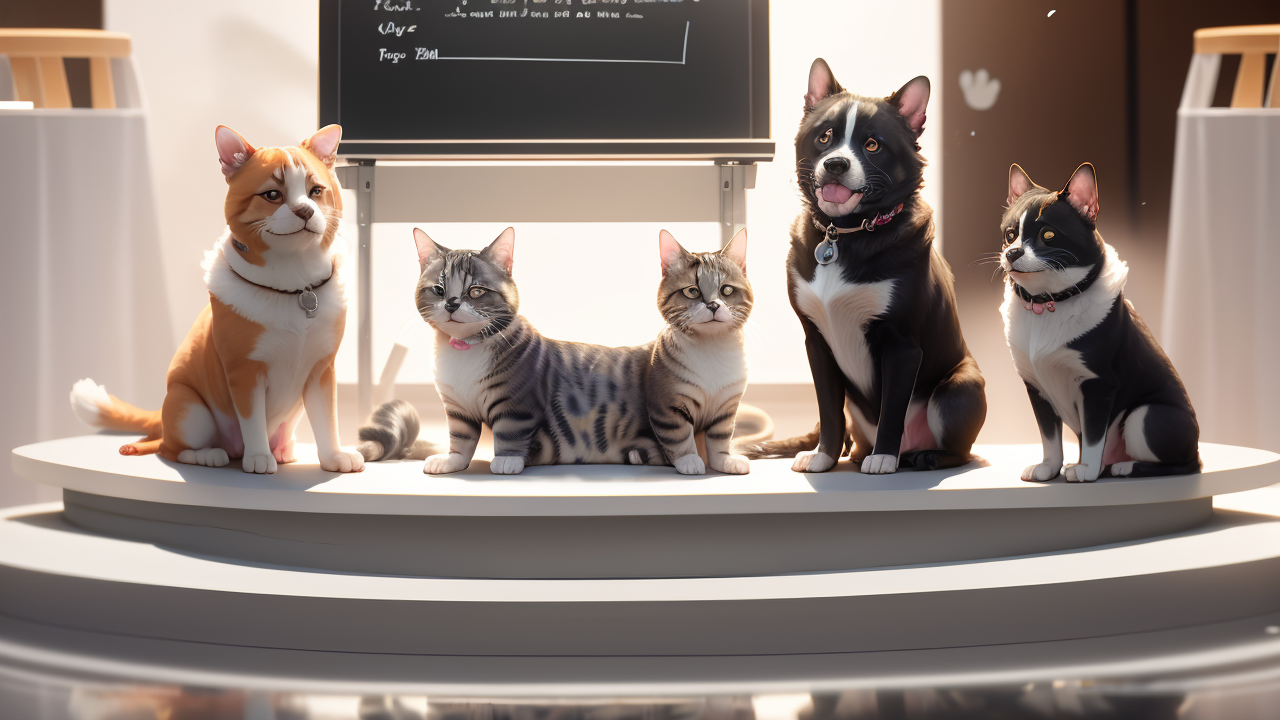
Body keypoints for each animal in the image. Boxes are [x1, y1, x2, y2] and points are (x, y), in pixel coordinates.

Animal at [69, 124, 363, 471]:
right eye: (272, 195)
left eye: (316, 191)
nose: (305, 210)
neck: (295, 287)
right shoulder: (244, 372)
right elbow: (252, 420)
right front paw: (259, 457)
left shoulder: (321, 370)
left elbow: (327, 420)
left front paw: (333, 457)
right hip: (188, 407)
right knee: (169, 447)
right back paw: (209, 455)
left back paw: (283, 450)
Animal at [355, 222, 752, 471]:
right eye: (438, 289)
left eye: (476, 291)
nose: (452, 304)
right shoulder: (458, 408)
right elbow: (461, 439)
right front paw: (453, 461)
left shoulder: (516, 401)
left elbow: (717, 437)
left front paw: (506, 460)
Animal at [737, 58, 983, 474]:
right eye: (825, 137)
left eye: (872, 145)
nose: (836, 164)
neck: (845, 234)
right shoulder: (817, 342)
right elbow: (829, 409)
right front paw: (824, 456)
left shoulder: (902, 344)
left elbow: (892, 408)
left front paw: (883, 457)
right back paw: (856, 453)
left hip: (961, 386)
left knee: (963, 451)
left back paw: (922, 456)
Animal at [998, 159, 1198, 479]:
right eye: (1009, 234)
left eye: (1048, 235)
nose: (1012, 252)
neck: (1049, 302)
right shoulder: (1037, 388)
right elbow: (1049, 436)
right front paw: (1049, 468)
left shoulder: (1098, 384)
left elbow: (1093, 436)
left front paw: (1086, 471)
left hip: (1145, 416)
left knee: (1181, 463)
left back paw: (1122, 467)